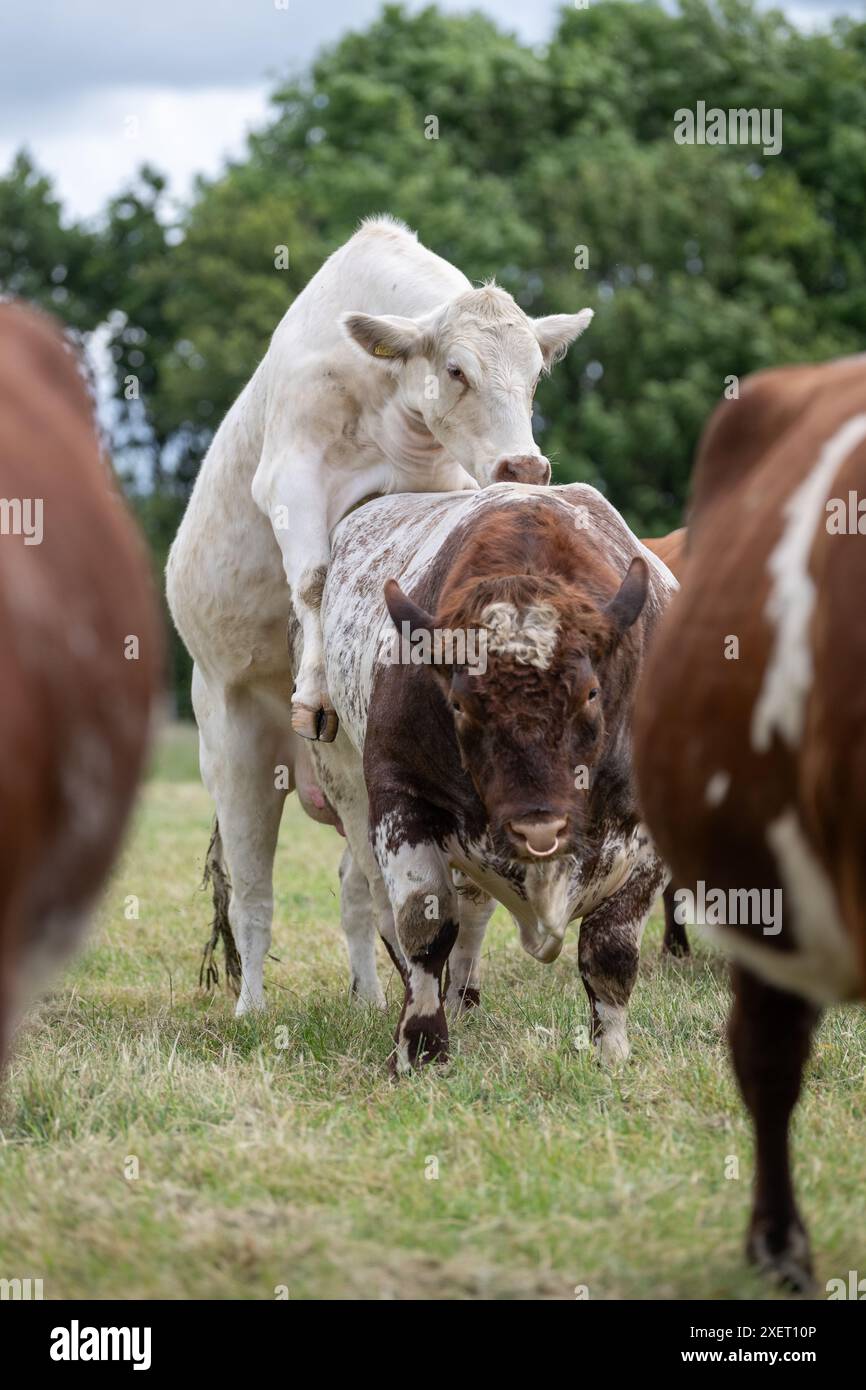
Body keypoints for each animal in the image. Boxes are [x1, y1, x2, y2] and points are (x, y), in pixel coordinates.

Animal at [166, 219, 592, 1023]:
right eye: (456, 370)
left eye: (535, 375)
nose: (524, 467)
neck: (384, 401)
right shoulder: (292, 477)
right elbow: (311, 576)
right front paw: (313, 684)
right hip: (234, 742)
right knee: (253, 895)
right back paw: (252, 1008)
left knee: (358, 892)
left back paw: (368, 994)